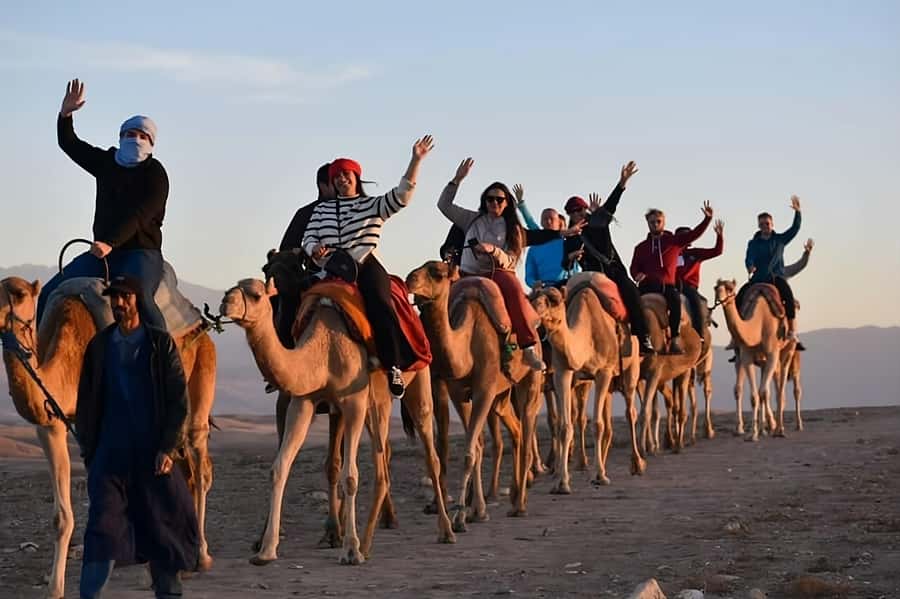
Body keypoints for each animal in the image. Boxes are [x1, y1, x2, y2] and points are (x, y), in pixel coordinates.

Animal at [220, 278, 453, 566]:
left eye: (256, 294)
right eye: (231, 288)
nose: (225, 302)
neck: (325, 347)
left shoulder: (353, 403)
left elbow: (350, 476)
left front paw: (350, 549)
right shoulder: (303, 401)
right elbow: (280, 468)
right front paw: (266, 550)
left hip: (418, 381)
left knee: (429, 455)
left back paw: (444, 531)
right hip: (375, 404)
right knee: (382, 460)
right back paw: (365, 542)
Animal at [406, 261, 543, 532]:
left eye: (437, 273)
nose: (409, 279)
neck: (467, 344)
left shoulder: (484, 389)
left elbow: (471, 451)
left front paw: (460, 517)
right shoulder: (459, 392)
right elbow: (476, 447)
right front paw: (475, 511)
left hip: (530, 380)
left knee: (528, 426)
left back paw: (520, 504)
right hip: (502, 396)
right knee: (516, 429)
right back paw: (513, 495)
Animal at [531, 274, 645, 493]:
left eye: (553, 300)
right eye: (532, 298)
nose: (533, 310)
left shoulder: (603, 372)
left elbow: (597, 424)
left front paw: (600, 476)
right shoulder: (563, 372)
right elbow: (565, 426)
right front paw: (561, 482)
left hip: (631, 367)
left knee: (630, 412)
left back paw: (637, 464)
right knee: (608, 423)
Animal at [638, 294, 704, 454]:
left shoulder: (654, 372)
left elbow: (645, 411)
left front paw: (643, 449)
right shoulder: (640, 377)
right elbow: (649, 411)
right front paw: (650, 447)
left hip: (685, 370)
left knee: (681, 409)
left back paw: (678, 444)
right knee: (673, 403)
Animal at [713, 279, 797, 441]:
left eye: (730, 288)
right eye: (716, 287)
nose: (720, 297)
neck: (759, 323)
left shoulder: (772, 354)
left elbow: (764, 392)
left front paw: (770, 428)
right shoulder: (746, 356)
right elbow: (753, 395)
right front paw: (752, 433)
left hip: (787, 351)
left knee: (780, 389)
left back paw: (779, 429)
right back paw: (766, 428)